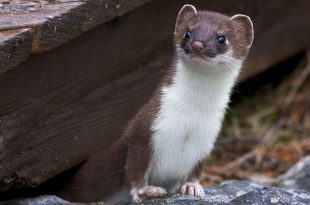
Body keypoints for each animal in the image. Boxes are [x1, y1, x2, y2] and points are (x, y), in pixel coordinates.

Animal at [58, 4, 254, 203]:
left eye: (222, 38)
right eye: (188, 32)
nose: (197, 44)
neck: (190, 117)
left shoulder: (207, 140)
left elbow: (195, 169)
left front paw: (192, 186)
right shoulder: (146, 125)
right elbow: (135, 166)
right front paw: (144, 191)